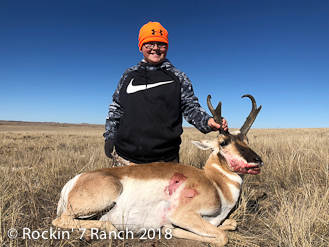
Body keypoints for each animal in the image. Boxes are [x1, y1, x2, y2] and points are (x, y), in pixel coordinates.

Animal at [52, 94, 262, 245]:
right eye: (224, 142)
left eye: (246, 140)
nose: (257, 160)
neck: (214, 182)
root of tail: (74, 181)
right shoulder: (183, 215)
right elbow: (222, 237)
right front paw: (170, 229)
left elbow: (232, 224)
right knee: (61, 221)